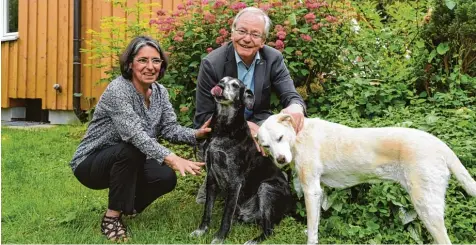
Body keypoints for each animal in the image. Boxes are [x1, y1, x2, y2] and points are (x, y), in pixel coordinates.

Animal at [189, 76, 292, 243]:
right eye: (221, 80)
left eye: (235, 86)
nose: (219, 86)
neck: (223, 128)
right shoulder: (211, 177)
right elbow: (207, 210)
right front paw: (201, 230)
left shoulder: (235, 182)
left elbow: (225, 216)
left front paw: (219, 238)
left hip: (266, 188)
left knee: (269, 230)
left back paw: (254, 240)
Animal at [258, 114, 476, 244]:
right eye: (266, 146)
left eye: (280, 138)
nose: (280, 159)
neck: (298, 136)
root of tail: (440, 144)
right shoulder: (318, 191)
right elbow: (315, 223)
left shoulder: (310, 190)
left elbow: (312, 227)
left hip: (426, 208)